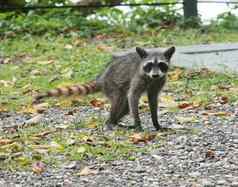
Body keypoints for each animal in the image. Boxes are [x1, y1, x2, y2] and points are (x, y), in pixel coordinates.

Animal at [33, 46, 175, 131]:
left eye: (161, 65)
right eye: (149, 65)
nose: (155, 74)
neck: (152, 79)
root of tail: (101, 77)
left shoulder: (159, 81)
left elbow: (153, 100)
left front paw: (156, 122)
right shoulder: (139, 77)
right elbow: (133, 96)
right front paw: (137, 123)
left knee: (125, 106)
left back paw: (115, 121)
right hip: (112, 85)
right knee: (120, 101)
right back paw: (111, 122)